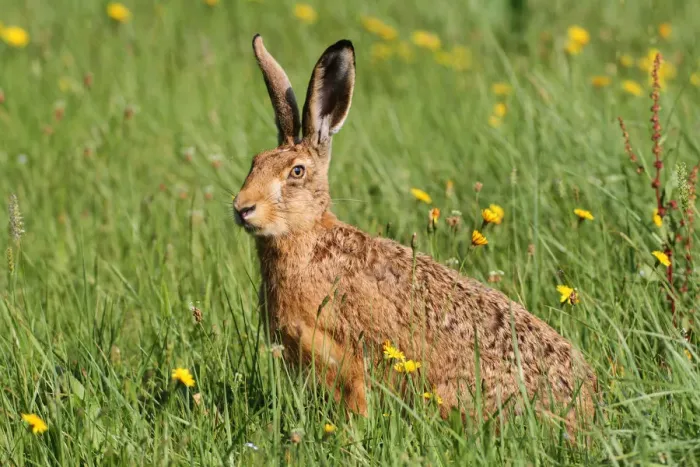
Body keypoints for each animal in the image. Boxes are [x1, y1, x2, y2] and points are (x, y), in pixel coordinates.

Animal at [234, 35, 598, 433]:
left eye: (296, 171)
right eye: (255, 162)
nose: (242, 207)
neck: (306, 235)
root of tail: (590, 412)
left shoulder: (345, 359)